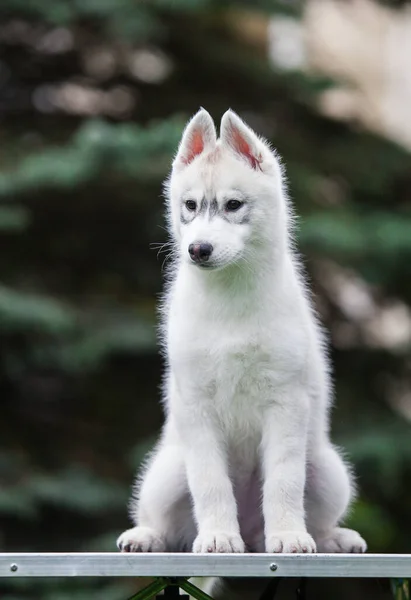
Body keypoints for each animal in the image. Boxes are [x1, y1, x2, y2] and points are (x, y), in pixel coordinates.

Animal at [117, 109, 368, 556]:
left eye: (233, 205)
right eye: (190, 206)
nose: (198, 249)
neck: (230, 296)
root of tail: (252, 535)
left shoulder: (285, 403)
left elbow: (284, 481)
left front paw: (288, 536)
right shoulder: (196, 406)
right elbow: (210, 483)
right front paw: (218, 535)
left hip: (328, 470)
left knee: (317, 515)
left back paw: (332, 538)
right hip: (166, 473)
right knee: (166, 523)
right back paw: (148, 535)